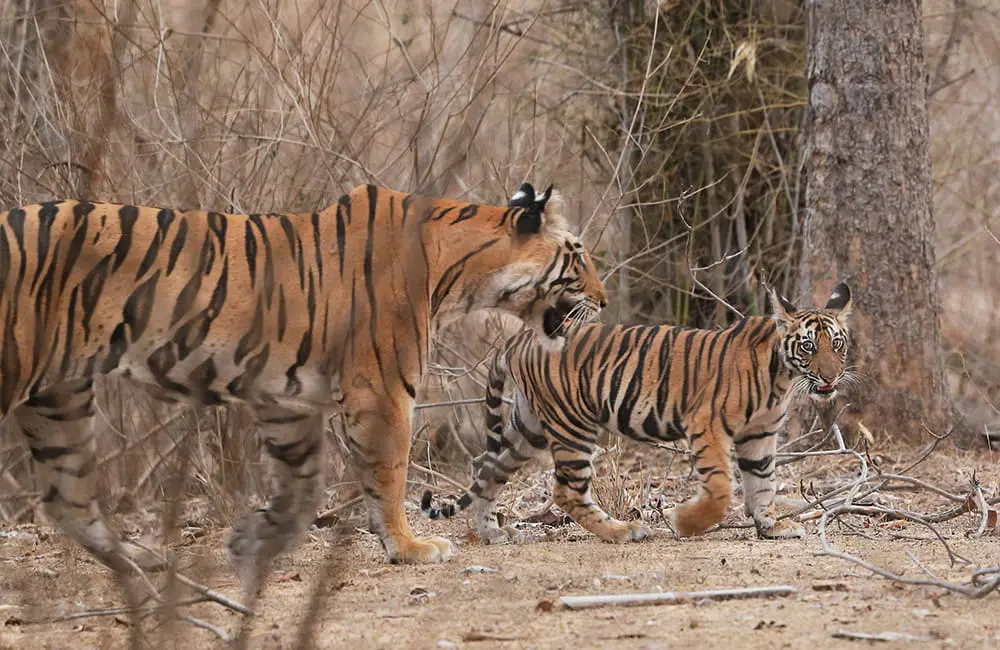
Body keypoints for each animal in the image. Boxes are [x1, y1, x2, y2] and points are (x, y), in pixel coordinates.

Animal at [0, 181, 607, 581]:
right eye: (578, 258)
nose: (603, 302)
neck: (457, 271)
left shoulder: (284, 398)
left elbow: (302, 486)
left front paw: (252, 541)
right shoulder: (384, 389)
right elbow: (390, 474)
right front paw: (410, 547)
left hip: (58, 400)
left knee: (68, 501)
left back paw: (143, 564)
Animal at [421, 283, 854, 544]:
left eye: (836, 344)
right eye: (808, 346)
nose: (831, 378)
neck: (781, 375)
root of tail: (520, 338)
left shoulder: (760, 435)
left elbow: (763, 483)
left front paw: (772, 526)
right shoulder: (707, 426)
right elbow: (721, 488)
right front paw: (684, 522)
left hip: (528, 429)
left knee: (486, 467)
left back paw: (491, 533)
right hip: (573, 424)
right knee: (566, 490)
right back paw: (622, 531)